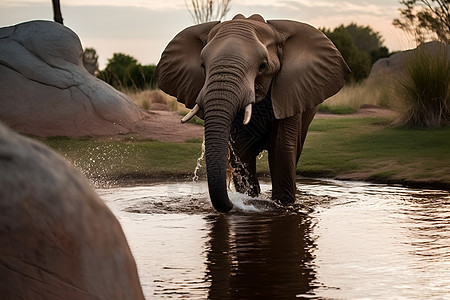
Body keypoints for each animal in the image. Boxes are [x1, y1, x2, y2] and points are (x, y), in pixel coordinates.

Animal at [156, 13, 350, 211]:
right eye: (202, 65)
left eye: (263, 66)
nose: (233, 204)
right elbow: (241, 150)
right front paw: (250, 198)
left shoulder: (290, 92)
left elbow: (282, 148)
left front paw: (281, 205)